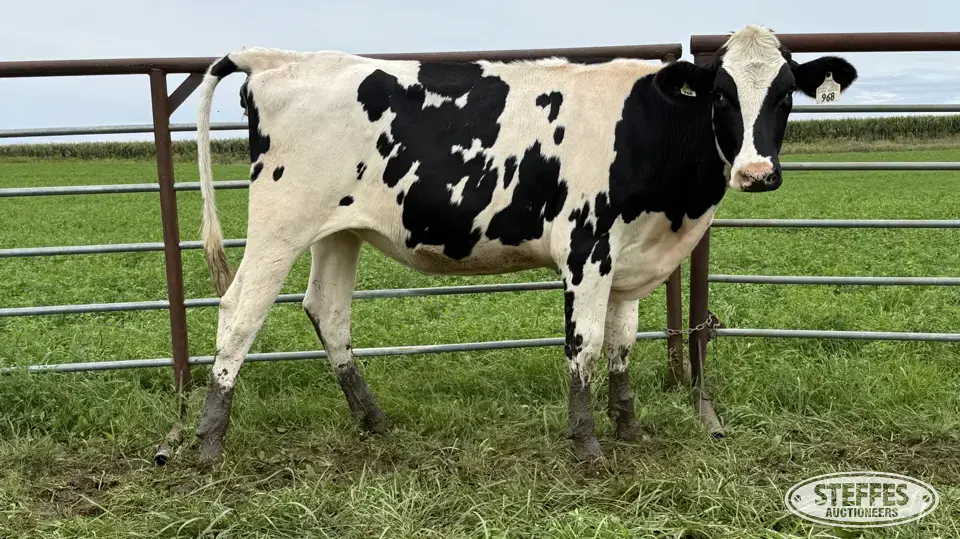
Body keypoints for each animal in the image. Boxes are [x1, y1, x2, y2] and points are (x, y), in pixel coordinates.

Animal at [192, 25, 857, 465]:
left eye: (785, 94)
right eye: (721, 94)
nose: (756, 172)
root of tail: (277, 59)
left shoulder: (630, 256)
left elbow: (622, 344)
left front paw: (629, 428)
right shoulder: (588, 249)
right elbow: (585, 346)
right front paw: (588, 445)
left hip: (339, 230)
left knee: (328, 313)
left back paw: (374, 422)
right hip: (281, 223)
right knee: (240, 311)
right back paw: (207, 444)